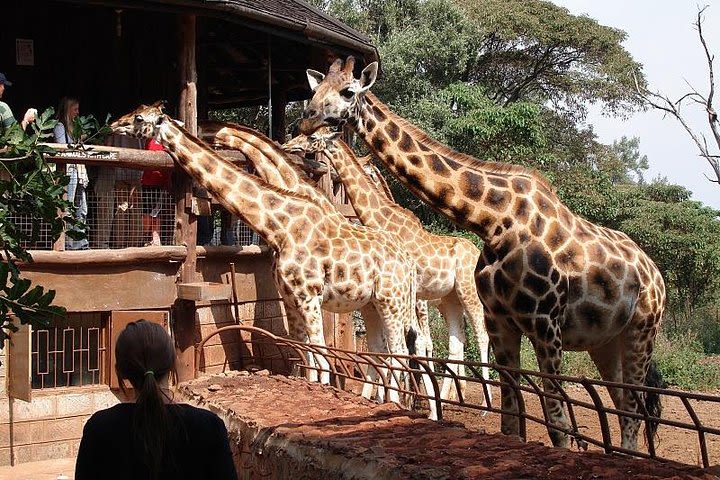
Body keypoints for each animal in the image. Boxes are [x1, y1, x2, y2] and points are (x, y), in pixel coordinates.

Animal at [109, 104, 424, 408]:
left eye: (139, 118)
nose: (113, 125)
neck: (278, 226)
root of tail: (408, 262)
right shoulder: (290, 298)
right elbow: (306, 357)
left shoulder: (310, 297)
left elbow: (321, 358)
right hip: (371, 303)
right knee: (385, 350)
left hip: (392, 301)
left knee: (401, 351)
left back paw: (400, 403)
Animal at [284, 127, 492, 404]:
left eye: (312, 138)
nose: (288, 145)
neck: (384, 220)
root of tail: (477, 253)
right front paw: (395, 396)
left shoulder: (410, 295)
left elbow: (414, 342)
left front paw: (402, 397)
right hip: (450, 299)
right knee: (456, 344)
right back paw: (453, 397)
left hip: (469, 293)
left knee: (481, 336)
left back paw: (483, 403)